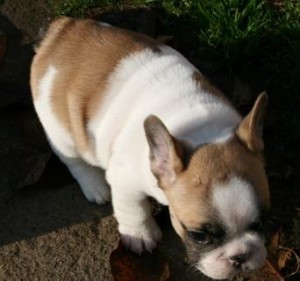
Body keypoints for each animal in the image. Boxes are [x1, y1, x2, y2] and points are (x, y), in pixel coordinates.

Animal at [30, 17, 270, 278]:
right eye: (198, 236)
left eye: (263, 222)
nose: (240, 257)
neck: (203, 131)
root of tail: (62, 29)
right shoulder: (124, 177)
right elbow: (133, 208)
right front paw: (139, 235)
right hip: (60, 130)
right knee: (73, 159)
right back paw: (94, 185)